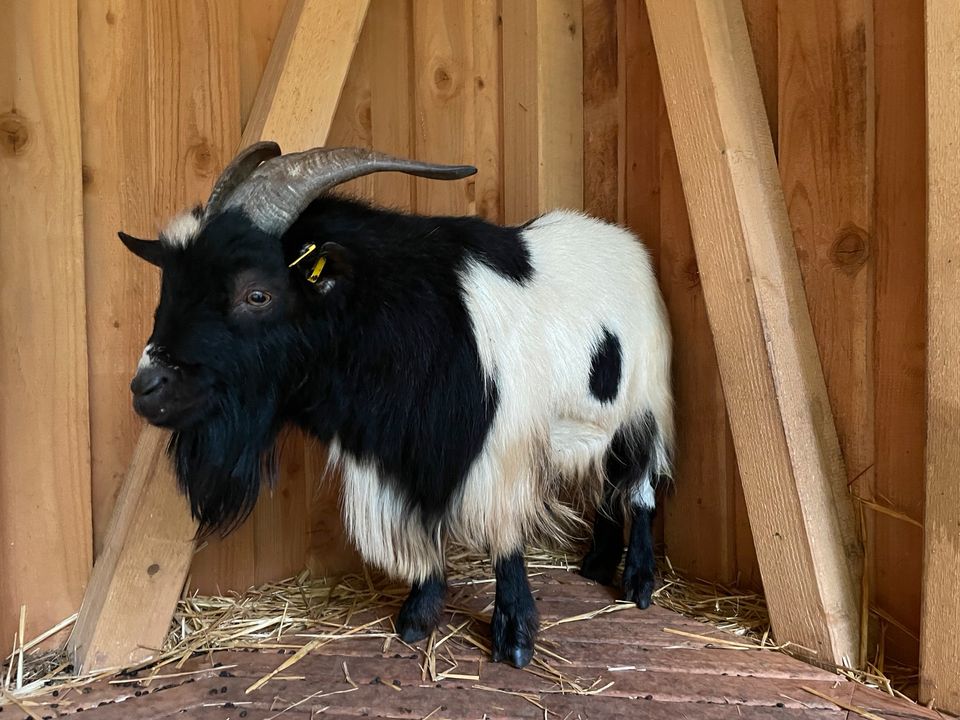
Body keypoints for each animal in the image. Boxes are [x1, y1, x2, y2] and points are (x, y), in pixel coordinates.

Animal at [122, 142, 676, 668]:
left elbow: (504, 539)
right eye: (169, 285)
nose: (147, 387)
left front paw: (515, 637)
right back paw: (597, 563)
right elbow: (421, 536)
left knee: (640, 486)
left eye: (256, 294)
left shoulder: (500, 449)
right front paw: (417, 616)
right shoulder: (400, 453)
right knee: (607, 482)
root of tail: (622, 241)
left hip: (644, 404)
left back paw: (637, 582)